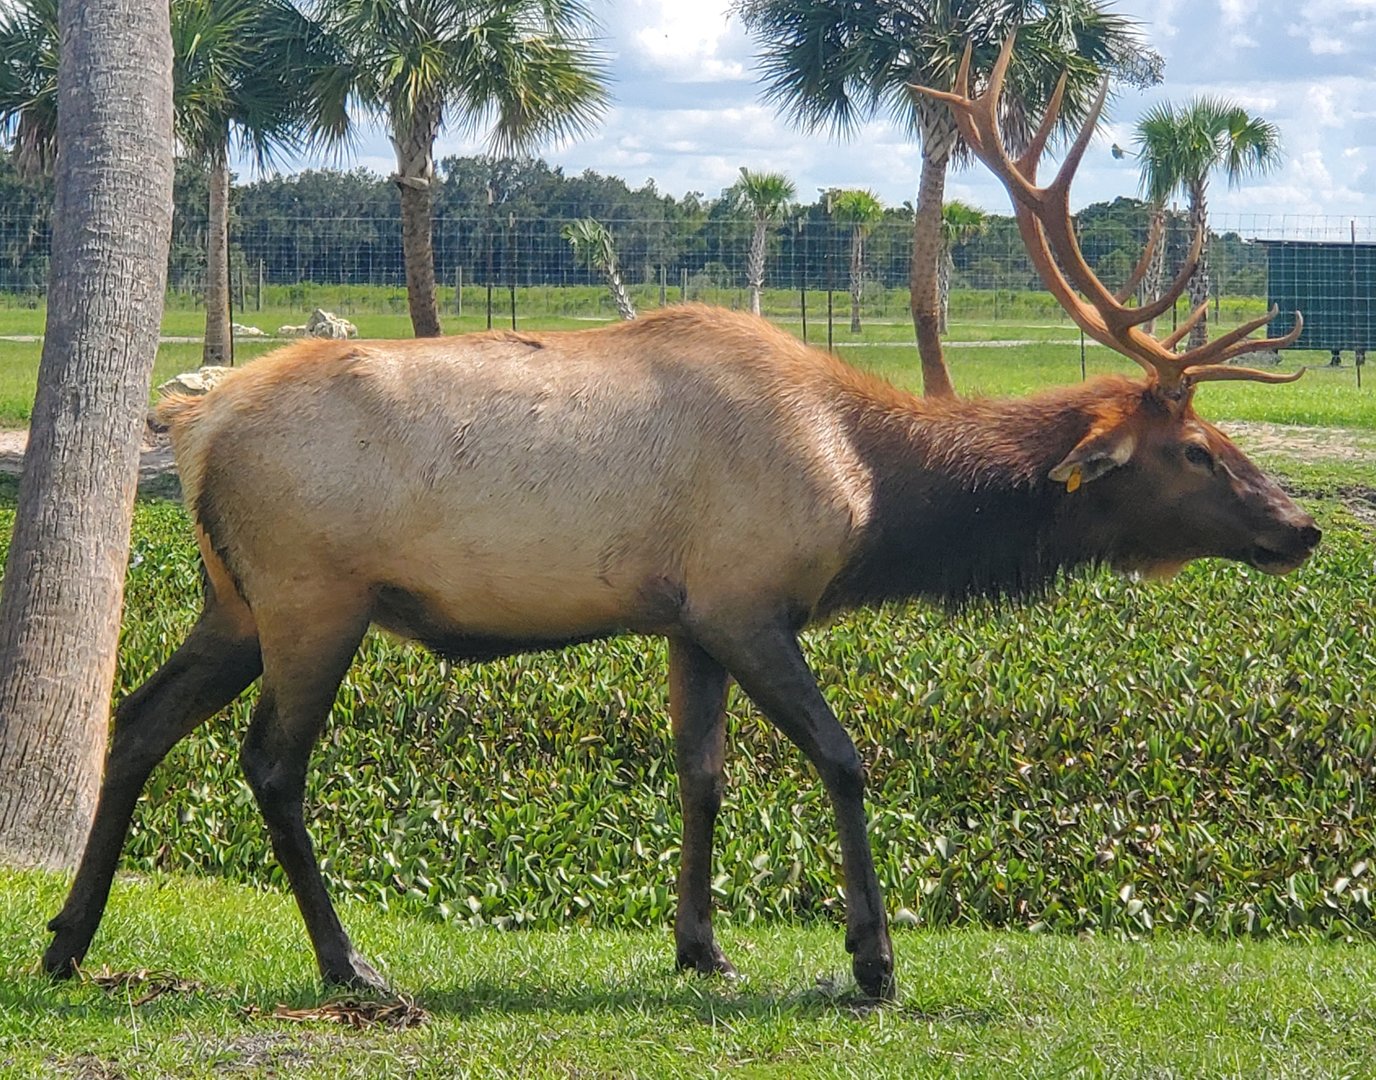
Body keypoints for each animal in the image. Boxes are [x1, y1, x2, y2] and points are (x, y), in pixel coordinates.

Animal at [43, 39, 1319, 1003]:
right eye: (1195, 450)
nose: (1299, 527)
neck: (870, 491)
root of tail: (191, 428)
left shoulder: (687, 618)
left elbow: (700, 774)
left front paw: (700, 945)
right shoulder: (749, 599)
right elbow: (841, 757)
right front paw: (871, 959)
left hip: (235, 597)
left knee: (140, 722)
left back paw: (67, 939)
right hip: (317, 594)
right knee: (270, 762)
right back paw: (346, 963)